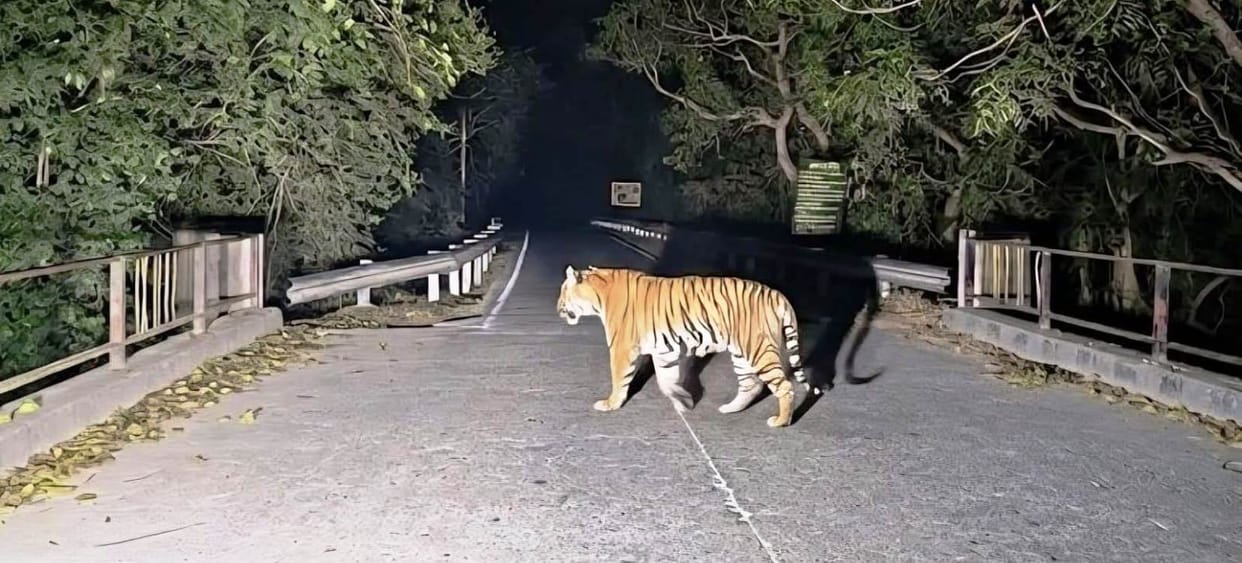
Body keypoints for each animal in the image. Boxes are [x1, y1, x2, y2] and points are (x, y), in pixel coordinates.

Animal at [556, 265, 819, 428]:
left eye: (563, 292)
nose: (557, 308)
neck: (599, 292)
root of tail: (778, 294)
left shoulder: (622, 348)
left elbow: (619, 378)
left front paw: (610, 404)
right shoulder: (664, 351)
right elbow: (667, 379)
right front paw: (683, 401)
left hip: (758, 349)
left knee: (784, 386)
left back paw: (781, 421)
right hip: (742, 354)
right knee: (751, 385)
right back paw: (730, 409)